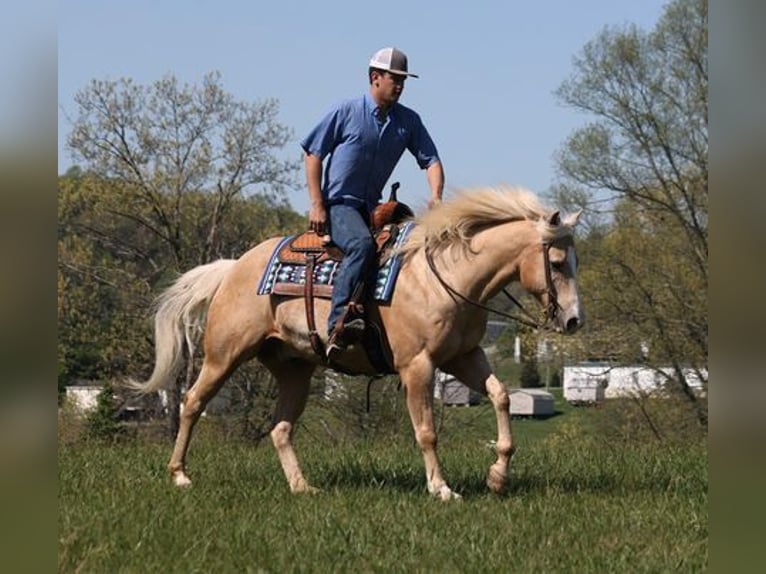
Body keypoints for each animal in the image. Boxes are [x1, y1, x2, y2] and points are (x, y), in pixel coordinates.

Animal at [130, 188, 584, 500]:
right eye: (558, 263)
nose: (574, 320)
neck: (447, 276)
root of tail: (233, 268)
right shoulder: (418, 366)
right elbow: (427, 431)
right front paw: (441, 488)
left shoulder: (463, 358)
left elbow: (501, 395)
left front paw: (498, 476)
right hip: (224, 355)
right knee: (192, 403)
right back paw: (180, 474)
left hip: (294, 369)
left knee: (280, 428)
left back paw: (302, 487)